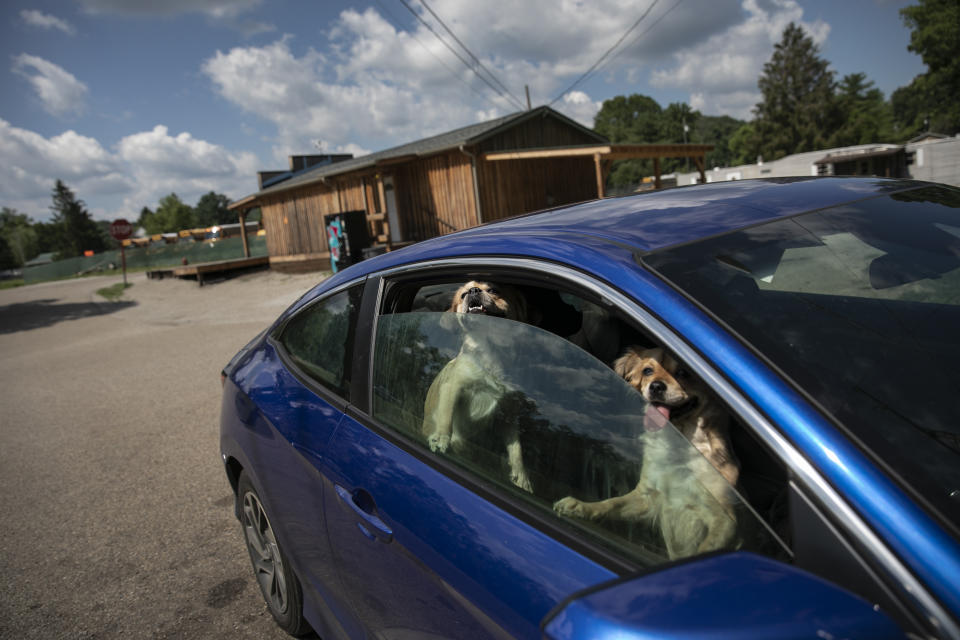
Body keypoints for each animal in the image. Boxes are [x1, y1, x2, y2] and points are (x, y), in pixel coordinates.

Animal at [422, 280, 536, 490]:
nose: (473, 291)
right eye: (463, 294)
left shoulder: (509, 415)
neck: (492, 350)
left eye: (493, 290)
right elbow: (446, 416)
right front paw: (441, 438)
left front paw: (521, 476)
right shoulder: (452, 388)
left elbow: (517, 450)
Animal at [552, 344, 740, 560]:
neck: (678, 446)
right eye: (647, 371)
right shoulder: (646, 497)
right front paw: (583, 506)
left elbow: (707, 548)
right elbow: (612, 503)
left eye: (683, 373)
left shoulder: (725, 522)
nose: (656, 386)